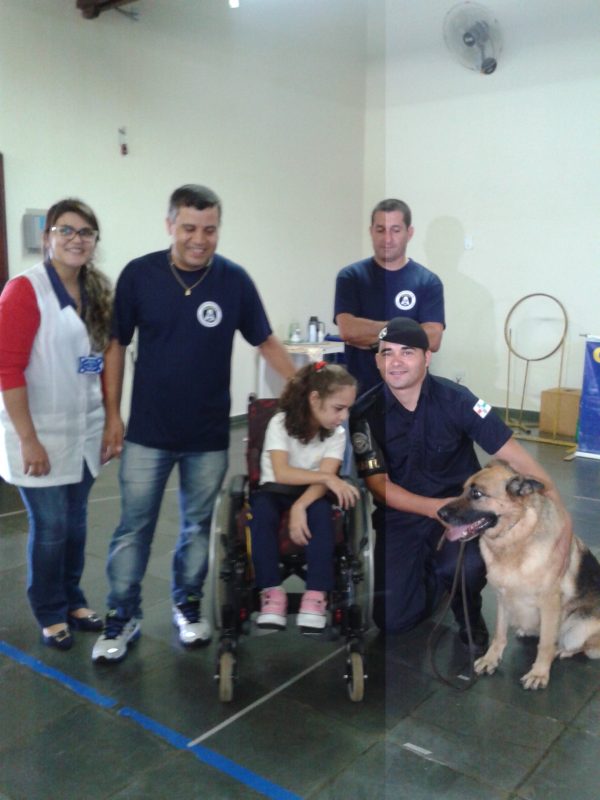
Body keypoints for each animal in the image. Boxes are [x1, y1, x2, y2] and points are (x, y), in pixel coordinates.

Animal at [438, 460, 600, 690]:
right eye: (462, 490)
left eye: (477, 494)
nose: (439, 513)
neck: (513, 538)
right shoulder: (502, 597)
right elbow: (499, 633)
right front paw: (490, 659)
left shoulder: (550, 603)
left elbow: (545, 644)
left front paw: (539, 672)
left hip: (578, 628)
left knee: (581, 646)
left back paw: (561, 650)